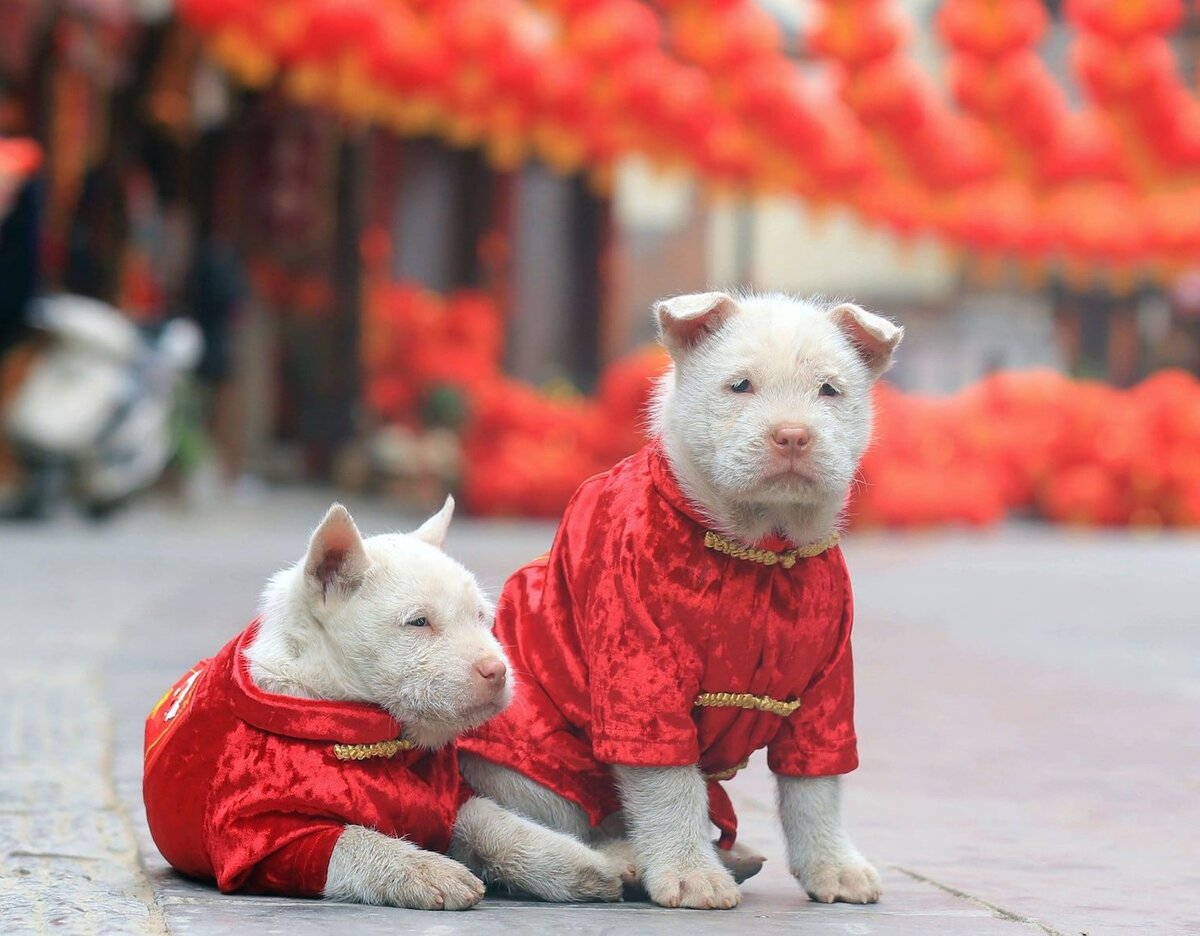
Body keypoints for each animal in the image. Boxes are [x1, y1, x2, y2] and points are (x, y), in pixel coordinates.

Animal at [145, 501, 624, 912]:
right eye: (418, 622)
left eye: (483, 618)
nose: (498, 671)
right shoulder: (259, 837)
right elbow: (354, 840)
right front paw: (427, 871)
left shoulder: (448, 796)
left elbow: (494, 820)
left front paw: (590, 863)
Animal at [458, 290, 902, 907]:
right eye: (740, 385)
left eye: (830, 390)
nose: (792, 436)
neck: (758, 548)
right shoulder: (642, 677)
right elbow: (670, 789)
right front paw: (691, 876)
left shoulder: (827, 692)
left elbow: (816, 786)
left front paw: (835, 869)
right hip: (531, 765)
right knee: (552, 822)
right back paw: (622, 862)